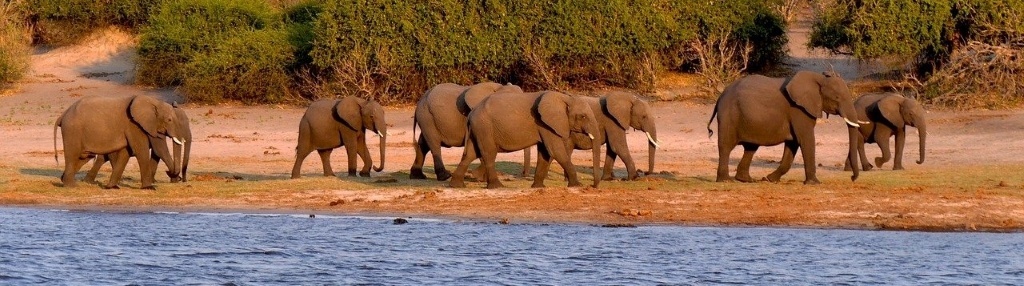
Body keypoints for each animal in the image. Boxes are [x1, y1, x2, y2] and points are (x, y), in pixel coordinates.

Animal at [54, 94, 187, 190]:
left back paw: (64, 180)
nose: (177, 177)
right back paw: (72, 186)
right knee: (73, 155)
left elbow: (125, 153)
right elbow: (141, 151)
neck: (153, 101)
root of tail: (62, 115)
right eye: (169, 120)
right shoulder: (133, 125)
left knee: (84, 157)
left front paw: (112, 187)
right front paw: (149, 188)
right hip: (72, 130)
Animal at [448, 91, 598, 189]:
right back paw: (498, 187)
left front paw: (538, 187)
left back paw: (457, 186)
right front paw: (577, 185)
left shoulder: (545, 125)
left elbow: (545, 154)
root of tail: (471, 113)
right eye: (583, 116)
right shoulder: (545, 124)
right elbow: (556, 151)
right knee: (488, 154)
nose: (592, 186)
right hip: (484, 127)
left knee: (470, 154)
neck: (564, 97)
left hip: (478, 128)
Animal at [524, 91, 659, 181]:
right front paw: (634, 178)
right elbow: (618, 146)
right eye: (644, 117)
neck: (628, 98)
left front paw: (608, 179)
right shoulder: (612, 122)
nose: (646, 172)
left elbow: (612, 149)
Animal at [708, 70, 868, 184]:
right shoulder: (798, 109)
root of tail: (720, 96)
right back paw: (725, 180)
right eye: (837, 98)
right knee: (726, 146)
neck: (818, 77)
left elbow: (793, 144)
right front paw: (814, 183)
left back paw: (746, 180)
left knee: (751, 148)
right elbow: (806, 139)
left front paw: (770, 179)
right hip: (729, 115)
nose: (852, 178)